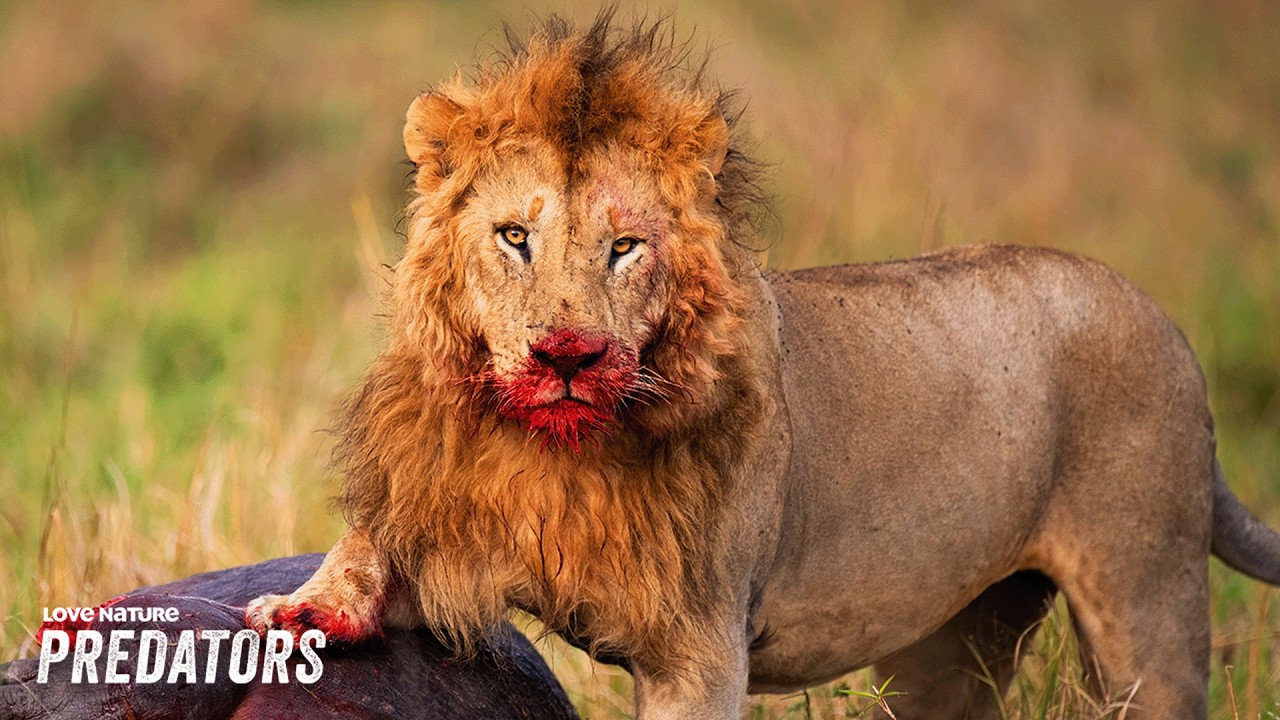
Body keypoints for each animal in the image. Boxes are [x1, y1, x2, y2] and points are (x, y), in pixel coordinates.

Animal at [246, 14, 1280, 720]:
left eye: (625, 247)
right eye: (513, 237)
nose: (569, 355)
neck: (559, 459)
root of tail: (1162, 319)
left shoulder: (700, 651)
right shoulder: (462, 519)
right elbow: (368, 546)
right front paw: (301, 611)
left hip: (1142, 594)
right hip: (957, 637)